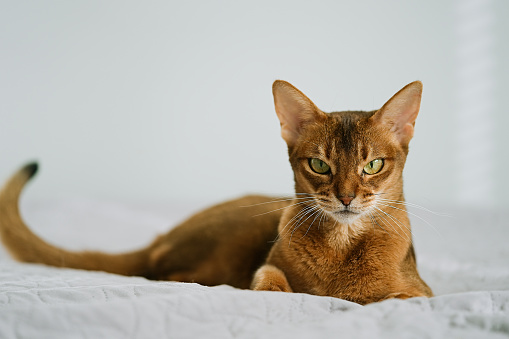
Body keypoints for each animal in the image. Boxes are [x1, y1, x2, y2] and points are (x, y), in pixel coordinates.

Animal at [0, 80, 430, 306]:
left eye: (373, 165)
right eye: (319, 165)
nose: (345, 198)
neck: (342, 245)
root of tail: (161, 238)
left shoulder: (420, 294)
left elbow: (391, 298)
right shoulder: (266, 265)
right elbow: (268, 279)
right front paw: (282, 296)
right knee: (164, 273)